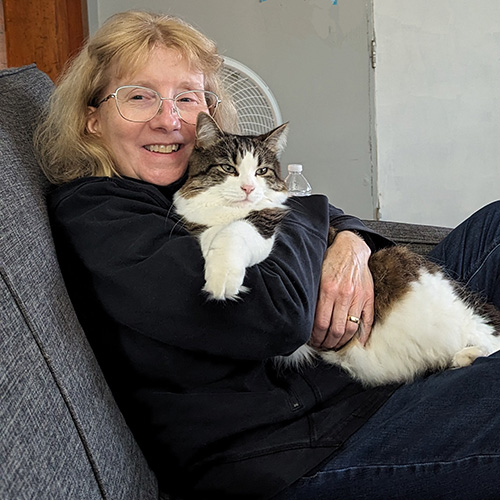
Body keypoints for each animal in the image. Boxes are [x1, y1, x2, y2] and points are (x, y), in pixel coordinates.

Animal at [174, 113, 500, 386]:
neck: (227, 213)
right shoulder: (199, 225)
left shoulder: (272, 221)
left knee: (490, 338)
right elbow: (211, 236)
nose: (248, 189)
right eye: (228, 168)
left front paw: (222, 279)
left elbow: (236, 233)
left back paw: (467, 354)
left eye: (261, 171)